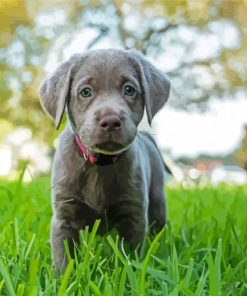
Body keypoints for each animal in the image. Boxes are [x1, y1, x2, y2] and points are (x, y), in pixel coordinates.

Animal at [40, 48, 170, 270]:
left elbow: (130, 258)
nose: (110, 120)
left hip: (157, 200)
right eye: (85, 92)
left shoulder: (134, 214)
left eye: (129, 90)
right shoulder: (64, 216)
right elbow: (64, 258)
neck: (101, 164)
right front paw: (64, 277)